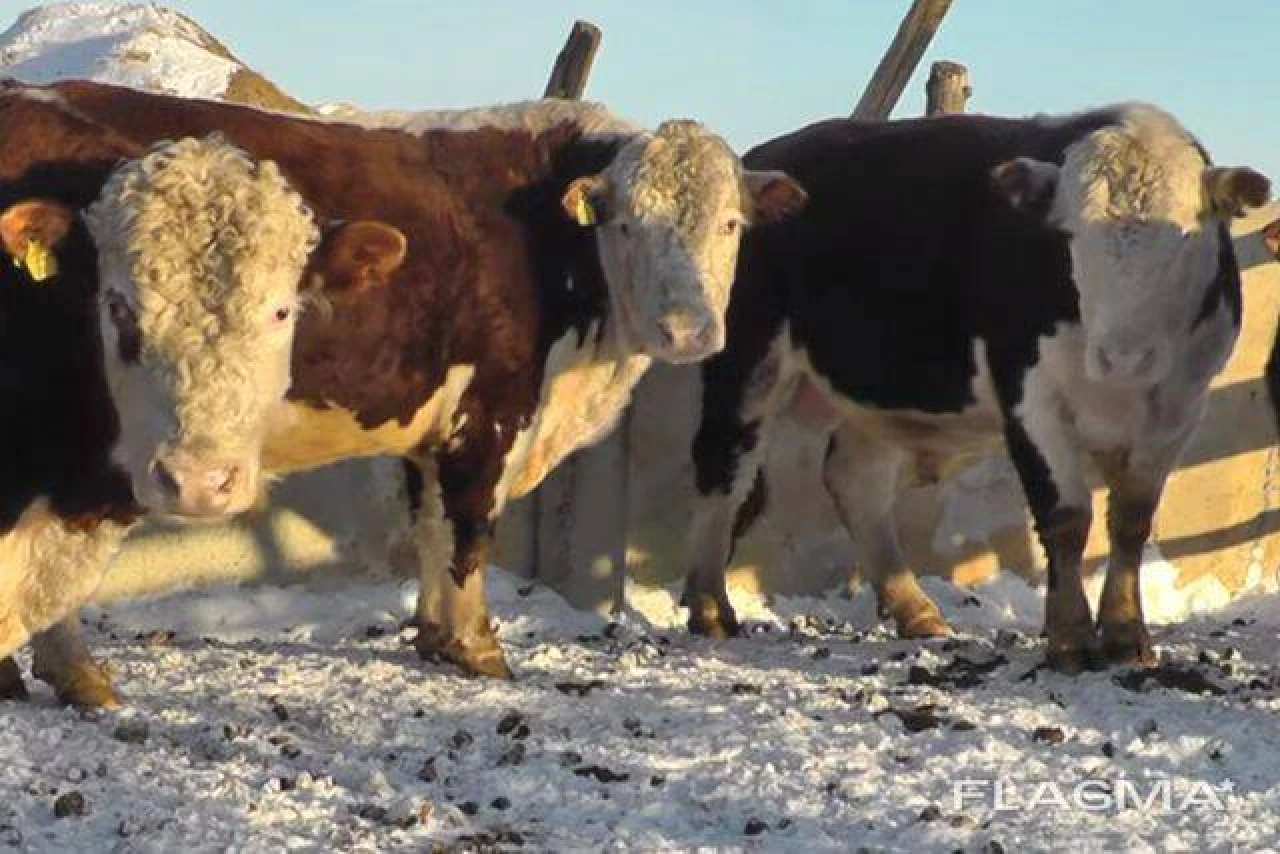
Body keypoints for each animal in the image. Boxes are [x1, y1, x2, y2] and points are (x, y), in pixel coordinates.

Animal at [0, 79, 805, 706]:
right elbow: (468, 529)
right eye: (629, 224)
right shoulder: (490, 412)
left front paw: (434, 634)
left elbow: (431, 527)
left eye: (730, 224)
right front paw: (477, 647)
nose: (687, 329)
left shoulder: (433, 423)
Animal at [682, 103, 1269, 673]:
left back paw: (915, 610)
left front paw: (1126, 635)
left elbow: (1130, 520)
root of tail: (765, 161)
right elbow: (1066, 519)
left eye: (1187, 236)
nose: (1122, 356)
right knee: (723, 473)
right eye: (1070, 236)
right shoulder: (1030, 397)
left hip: (882, 395)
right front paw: (1070, 639)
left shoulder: (1179, 409)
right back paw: (710, 607)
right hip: (747, 361)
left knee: (857, 482)